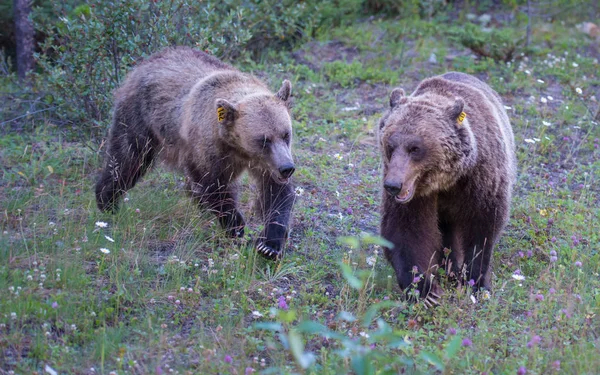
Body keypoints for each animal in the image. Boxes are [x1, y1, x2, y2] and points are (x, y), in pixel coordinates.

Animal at [94, 45, 298, 260]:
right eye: (263, 139)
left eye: (286, 134)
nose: (287, 168)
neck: (237, 148)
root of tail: (145, 61)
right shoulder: (207, 148)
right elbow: (212, 184)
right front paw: (236, 224)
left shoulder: (267, 163)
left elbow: (275, 194)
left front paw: (269, 244)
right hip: (139, 116)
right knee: (127, 158)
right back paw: (107, 202)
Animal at [380, 72, 516, 306]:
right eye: (390, 144)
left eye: (415, 148)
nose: (393, 185)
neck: (445, 180)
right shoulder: (414, 197)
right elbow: (405, 231)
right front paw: (425, 291)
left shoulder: (481, 179)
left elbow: (482, 228)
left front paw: (476, 282)